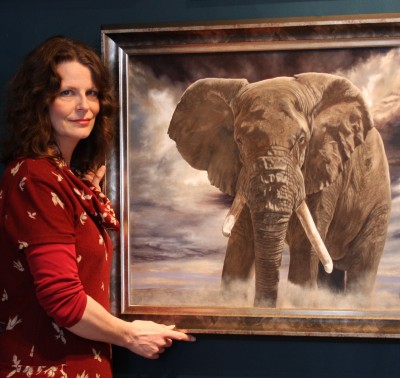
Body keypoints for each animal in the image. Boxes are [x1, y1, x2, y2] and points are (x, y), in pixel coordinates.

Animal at [168, 72, 390, 308]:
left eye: (302, 140)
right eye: (239, 140)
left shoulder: (326, 169)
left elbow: (304, 242)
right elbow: (240, 240)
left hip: (378, 203)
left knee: (363, 265)